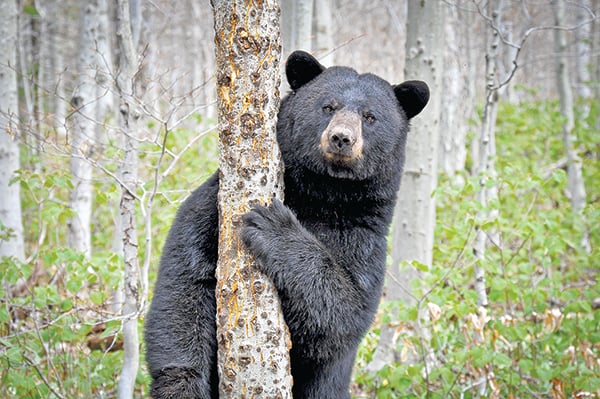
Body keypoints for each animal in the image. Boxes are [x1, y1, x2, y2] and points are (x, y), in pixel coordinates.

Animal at [144, 50, 426, 399]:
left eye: (369, 116)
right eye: (327, 106)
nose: (341, 138)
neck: (322, 194)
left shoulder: (363, 239)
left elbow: (343, 314)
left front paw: (274, 226)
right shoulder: (213, 205)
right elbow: (185, 281)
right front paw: (181, 385)